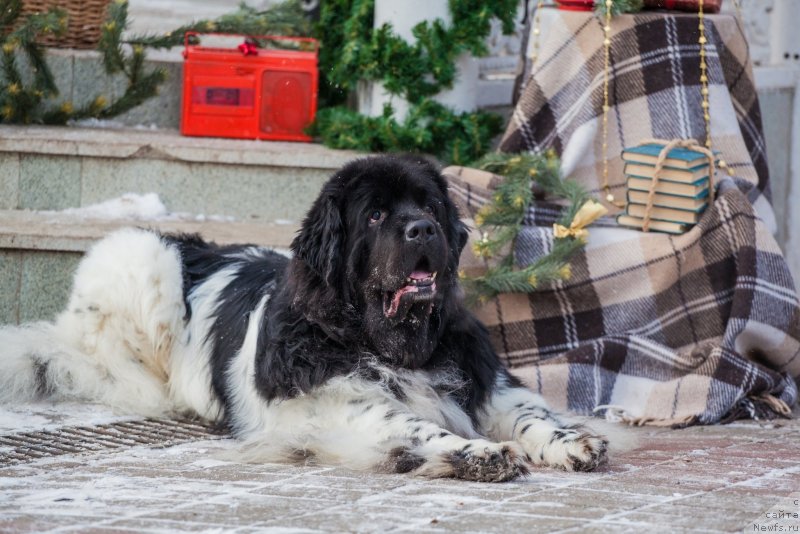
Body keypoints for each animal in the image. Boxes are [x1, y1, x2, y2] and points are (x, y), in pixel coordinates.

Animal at [0, 156, 608, 486]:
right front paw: (478, 453)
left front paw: (572, 440)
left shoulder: (484, 380)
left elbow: (529, 413)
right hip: (138, 256)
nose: (423, 230)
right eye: (376, 215)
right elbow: (411, 423)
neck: (386, 341)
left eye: (431, 207)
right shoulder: (332, 407)